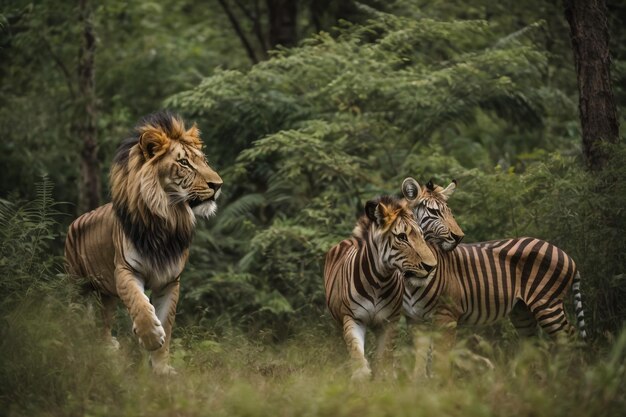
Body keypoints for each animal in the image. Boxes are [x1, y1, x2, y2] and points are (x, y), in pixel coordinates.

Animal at [65, 109, 222, 374]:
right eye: (183, 163)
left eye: (203, 160)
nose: (218, 185)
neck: (168, 218)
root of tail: (76, 220)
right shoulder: (125, 270)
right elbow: (139, 303)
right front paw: (150, 337)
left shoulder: (170, 281)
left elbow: (167, 323)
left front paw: (161, 370)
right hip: (76, 286)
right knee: (75, 317)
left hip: (105, 295)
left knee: (104, 323)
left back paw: (108, 349)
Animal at [324, 193, 436, 378]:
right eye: (402, 237)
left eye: (421, 235)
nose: (432, 266)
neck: (378, 281)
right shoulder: (353, 318)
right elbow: (355, 350)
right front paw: (361, 375)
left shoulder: (389, 322)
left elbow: (385, 356)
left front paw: (384, 377)